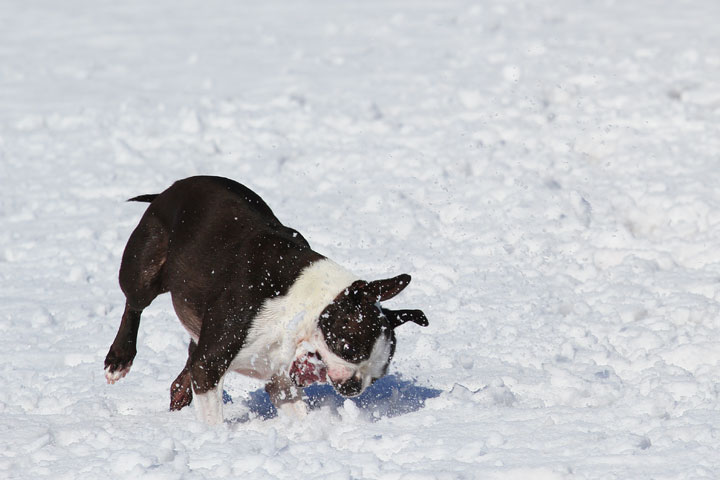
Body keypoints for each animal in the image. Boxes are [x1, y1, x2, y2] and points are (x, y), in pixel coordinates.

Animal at [102, 176, 428, 424]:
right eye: (348, 347)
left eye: (375, 378)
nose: (353, 386)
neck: (300, 306)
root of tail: (171, 188)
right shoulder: (210, 365)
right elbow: (212, 417)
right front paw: (215, 443)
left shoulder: (279, 378)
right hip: (146, 263)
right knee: (135, 303)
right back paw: (119, 358)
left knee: (184, 364)